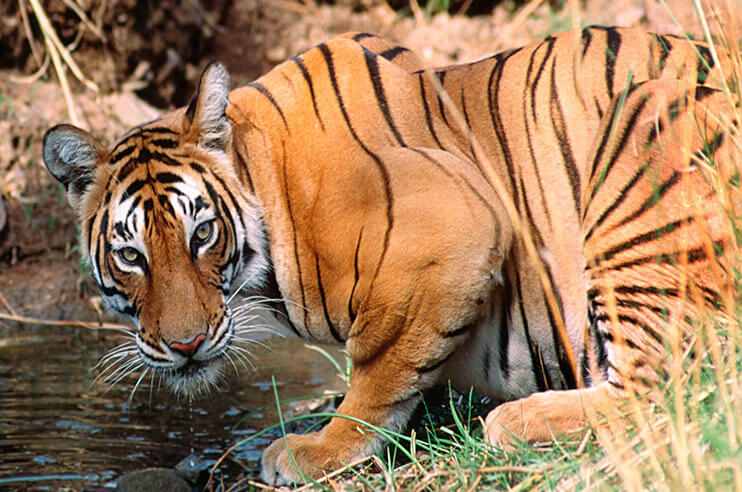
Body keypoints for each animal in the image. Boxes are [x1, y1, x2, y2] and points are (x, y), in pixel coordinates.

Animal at [43, 26, 740, 484]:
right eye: (132, 256)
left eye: (202, 235)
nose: (185, 346)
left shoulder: (458, 223)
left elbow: (379, 365)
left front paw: (319, 447)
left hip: (645, 127)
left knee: (665, 385)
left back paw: (511, 421)